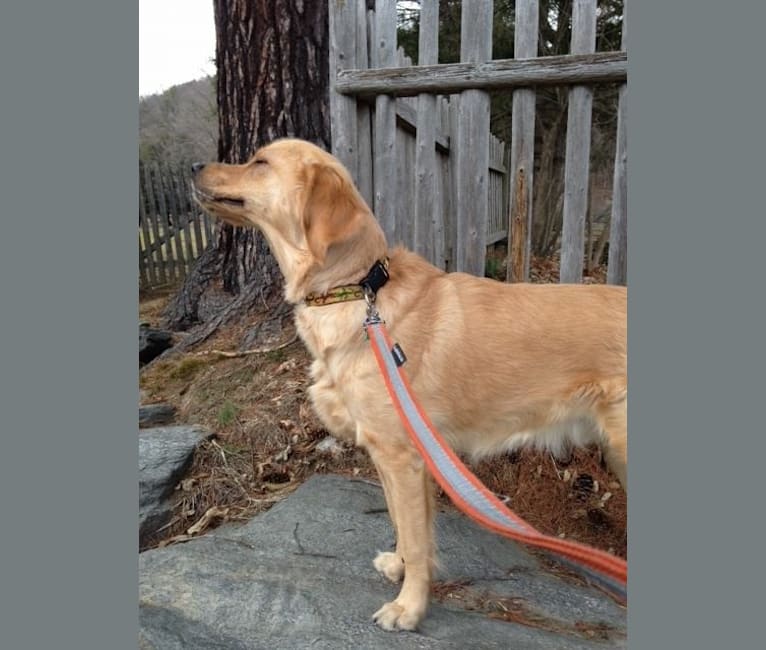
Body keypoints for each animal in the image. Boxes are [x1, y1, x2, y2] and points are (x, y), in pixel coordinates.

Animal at [190, 139, 624, 632]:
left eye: (260, 162)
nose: (194, 165)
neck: (357, 290)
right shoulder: (393, 457)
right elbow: (403, 525)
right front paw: (399, 569)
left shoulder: (403, 458)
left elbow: (415, 541)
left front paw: (409, 608)